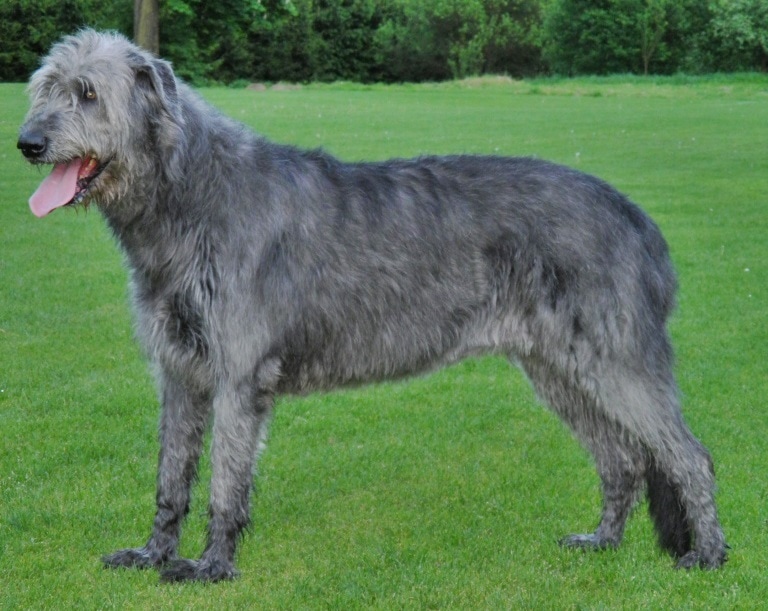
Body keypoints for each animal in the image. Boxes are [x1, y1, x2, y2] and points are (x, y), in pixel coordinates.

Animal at [18, 29, 728, 584]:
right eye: (44, 87)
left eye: (89, 93)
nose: (27, 142)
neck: (191, 195)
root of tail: (637, 219)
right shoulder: (180, 373)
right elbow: (171, 478)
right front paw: (152, 553)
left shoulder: (239, 376)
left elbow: (225, 482)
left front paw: (211, 565)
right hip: (558, 368)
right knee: (623, 458)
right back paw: (603, 541)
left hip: (615, 358)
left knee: (687, 455)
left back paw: (709, 555)